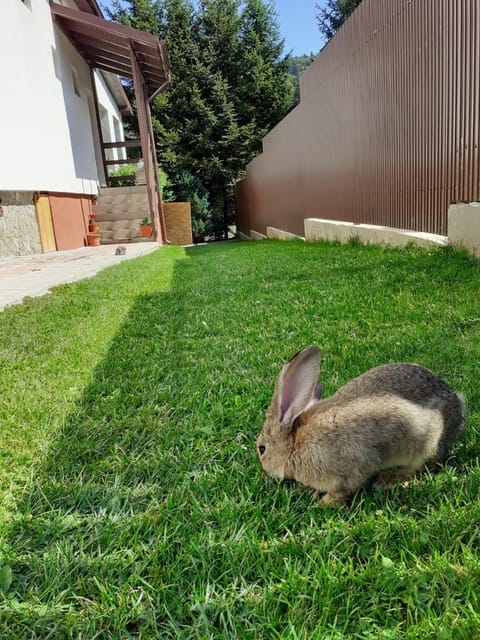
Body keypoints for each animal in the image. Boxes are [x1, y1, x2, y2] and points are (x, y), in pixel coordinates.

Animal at [256, 344, 466, 504]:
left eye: (262, 449)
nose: (264, 472)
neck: (295, 444)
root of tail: (457, 406)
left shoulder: (344, 474)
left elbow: (343, 491)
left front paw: (320, 504)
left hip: (423, 443)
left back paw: (387, 480)